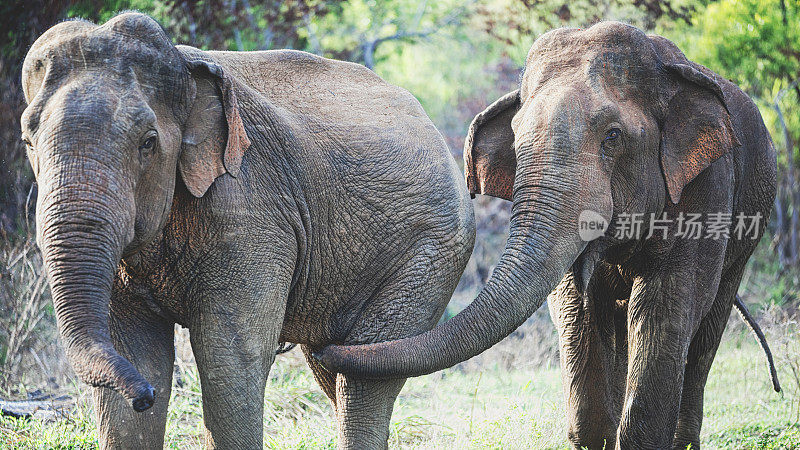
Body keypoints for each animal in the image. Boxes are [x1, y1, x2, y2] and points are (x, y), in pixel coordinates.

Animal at [20, 12, 476, 448]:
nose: (142, 396)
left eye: (147, 142)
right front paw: (141, 389)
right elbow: (135, 352)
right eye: (28, 139)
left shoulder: (250, 209)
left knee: (365, 376)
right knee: (336, 369)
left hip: (429, 255)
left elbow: (230, 357)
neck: (186, 72)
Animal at [316, 19, 780, 448]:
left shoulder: (707, 186)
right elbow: (576, 307)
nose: (325, 347)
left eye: (613, 137)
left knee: (705, 333)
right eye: (517, 141)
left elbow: (666, 305)